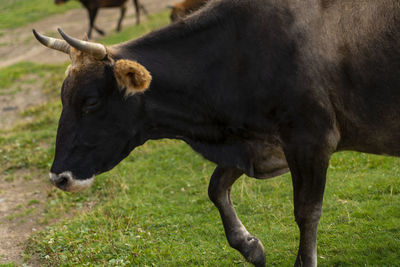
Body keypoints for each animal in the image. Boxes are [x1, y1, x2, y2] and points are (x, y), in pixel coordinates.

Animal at [34, 0, 400, 266]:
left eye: (90, 102)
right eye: (64, 98)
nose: (59, 177)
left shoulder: (310, 139)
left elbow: (306, 211)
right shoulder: (259, 145)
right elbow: (215, 186)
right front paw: (248, 245)